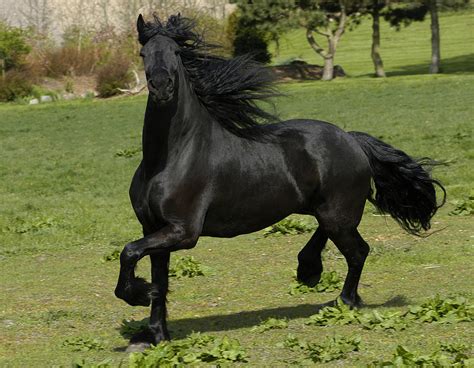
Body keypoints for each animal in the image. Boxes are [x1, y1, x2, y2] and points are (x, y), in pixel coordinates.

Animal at [114, 13, 444, 348]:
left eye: (177, 52)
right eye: (143, 53)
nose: (162, 87)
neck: (169, 159)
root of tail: (351, 139)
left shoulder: (184, 231)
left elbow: (129, 252)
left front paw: (137, 295)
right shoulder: (154, 228)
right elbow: (158, 278)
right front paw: (156, 333)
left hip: (339, 214)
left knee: (358, 251)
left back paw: (344, 301)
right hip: (324, 210)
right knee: (332, 236)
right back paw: (308, 268)